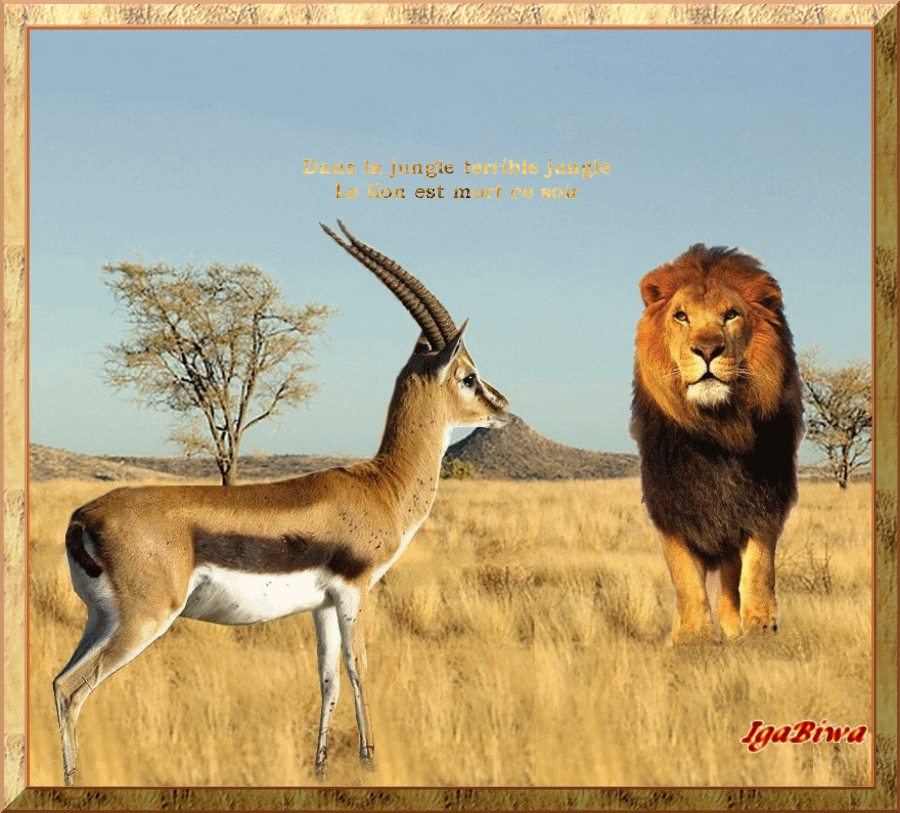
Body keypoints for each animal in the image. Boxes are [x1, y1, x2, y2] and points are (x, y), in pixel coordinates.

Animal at [630, 244, 804, 644]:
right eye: (681, 316)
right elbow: (685, 579)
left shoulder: (763, 497)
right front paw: (693, 637)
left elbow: (759, 566)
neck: (717, 429)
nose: (707, 349)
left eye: (731, 315)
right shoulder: (671, 505)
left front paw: (760, 625)